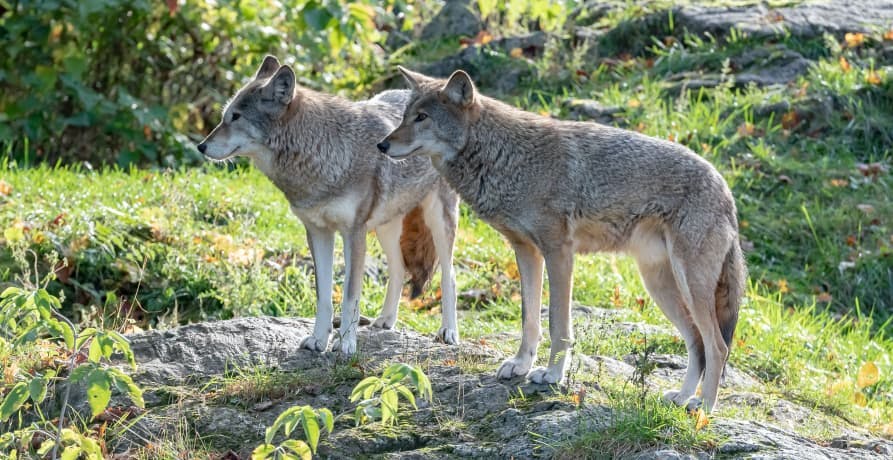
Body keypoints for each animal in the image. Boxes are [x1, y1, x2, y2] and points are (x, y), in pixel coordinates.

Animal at [197, 56, 460, 354]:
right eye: (224, 116)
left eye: (236, 117)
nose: (201, 146)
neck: (321, 154)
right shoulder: (317, 232)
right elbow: (323, 295)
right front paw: (318, 340)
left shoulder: (354, 233)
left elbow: (349, 296)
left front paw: (345, 343)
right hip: (386, 227)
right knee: (399, 268)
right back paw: (385, 321)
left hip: (438, 221)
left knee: (449, 275)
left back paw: (448, 331)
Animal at [378, 67, 745, 413]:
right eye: (405, 116)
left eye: (422, 118)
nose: (382, 145)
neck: (508, 157)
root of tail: (727, 191)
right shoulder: (526, 252)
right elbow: (529, 319)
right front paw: (521, 365)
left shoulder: (559, 252)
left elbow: (558, 323)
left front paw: (552, 375)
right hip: (660, 286)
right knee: (697, 341)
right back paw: (682, 397)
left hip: (688, 285)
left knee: (717, 345)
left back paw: (704, 407)